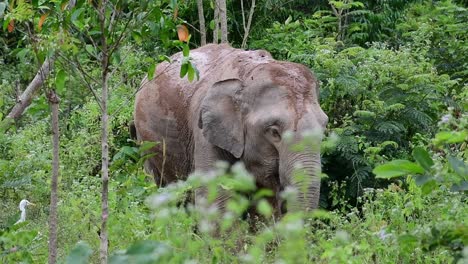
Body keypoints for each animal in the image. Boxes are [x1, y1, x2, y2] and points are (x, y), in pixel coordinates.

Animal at [133, 44, 328, 216]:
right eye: (274, 132)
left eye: (324, 128)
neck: (248, 75)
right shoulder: (203, 132)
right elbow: (215, 199)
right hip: (145, 143)